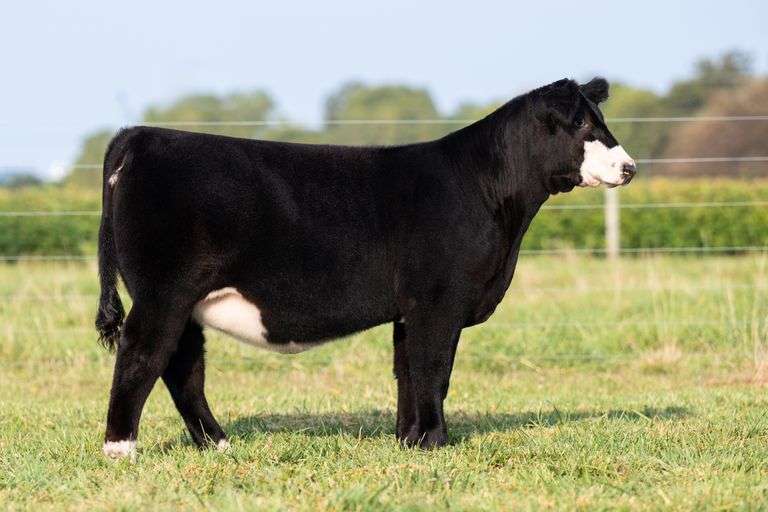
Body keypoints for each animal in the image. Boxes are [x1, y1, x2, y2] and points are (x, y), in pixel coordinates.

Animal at [95, 77, 635, 458]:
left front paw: (409, 440)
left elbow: (408, 370)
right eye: (583, 127)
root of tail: (138, 136)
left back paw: (218, 444)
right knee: (142, 354)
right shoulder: (438, 301)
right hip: (164, 292)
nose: (629, 168)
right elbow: (434, 367)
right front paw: (436, 441)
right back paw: (121, 449)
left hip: (183, 300)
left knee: (183, 366)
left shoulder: (410, 308)